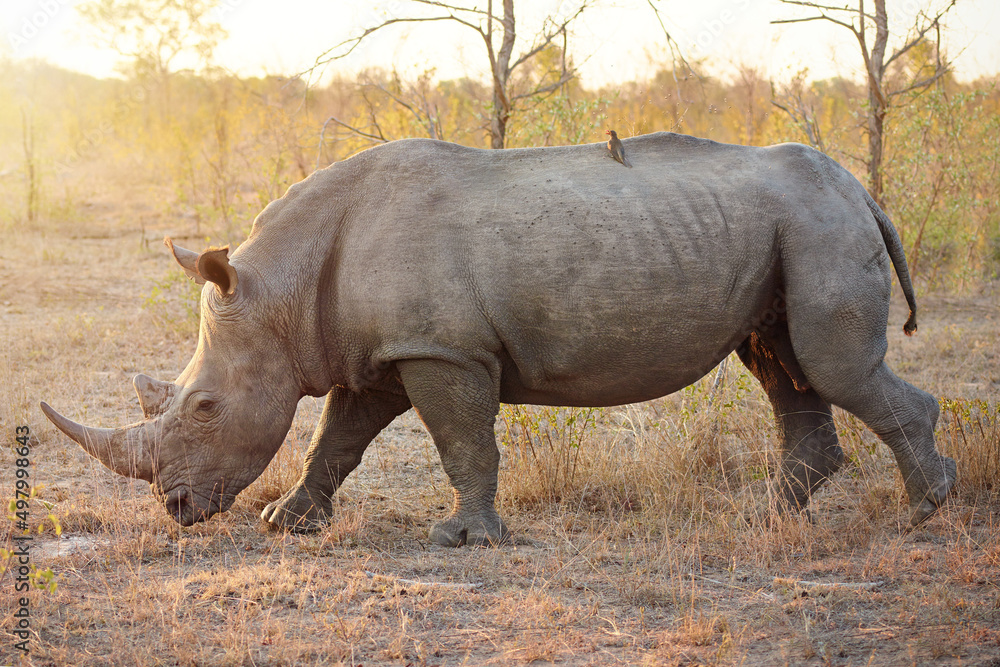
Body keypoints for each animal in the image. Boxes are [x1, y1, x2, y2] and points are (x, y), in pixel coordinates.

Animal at [43, 133, 956, 544]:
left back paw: (923, 512)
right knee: (782, 363)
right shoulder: (387, 350)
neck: (284, 284)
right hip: (793, 228)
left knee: (831, 365)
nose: (176, 510)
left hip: (819, 224)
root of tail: (861, 188)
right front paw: (288, 522)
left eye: (203, 406)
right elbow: (336, 438)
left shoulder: (440, 349)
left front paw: (465, 540)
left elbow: (460, 440)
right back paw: (765, 519)